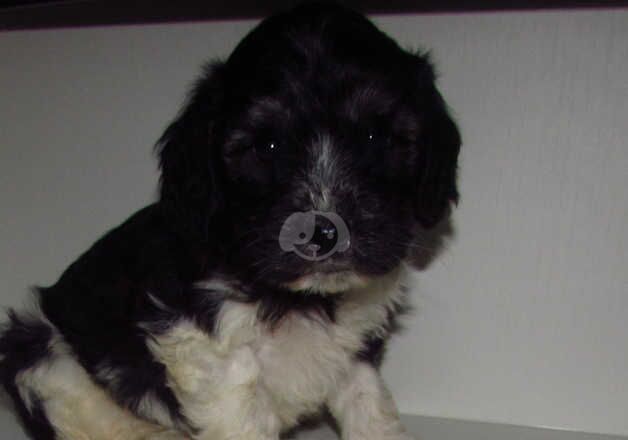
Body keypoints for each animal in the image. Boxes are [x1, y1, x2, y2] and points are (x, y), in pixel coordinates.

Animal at [0, 4, 462, 440]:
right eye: (267, 147)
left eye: (375, 138)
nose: (325, 231)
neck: (297, 296)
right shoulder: (206, 347)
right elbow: (240, 415)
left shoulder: (354, 346)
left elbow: (368, 403)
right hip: (40, 349)